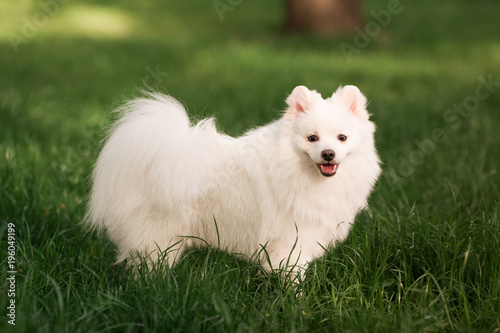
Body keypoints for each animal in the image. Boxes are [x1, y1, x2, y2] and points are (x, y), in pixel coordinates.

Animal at [86, 85, 380, 272]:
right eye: (312, 138)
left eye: (342, 137)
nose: (328, 154)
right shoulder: (290, 240)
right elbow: (292, 274)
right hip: (160, 237)